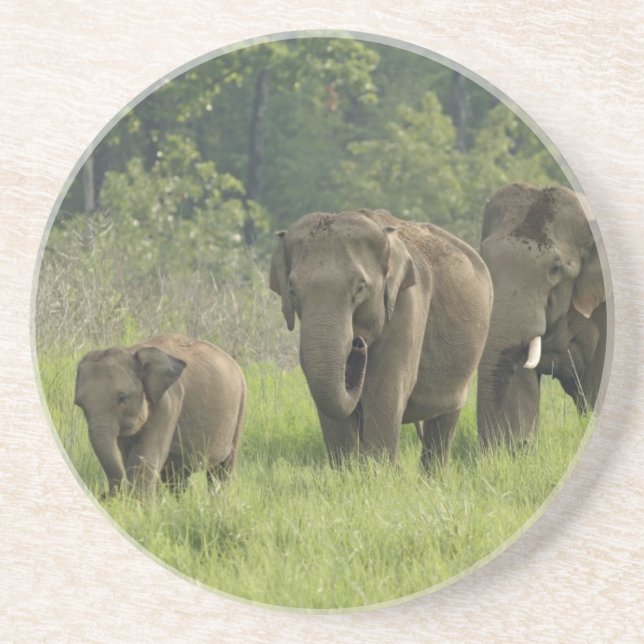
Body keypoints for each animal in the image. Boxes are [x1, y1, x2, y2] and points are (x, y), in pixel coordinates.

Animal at [74, 333, 246, 496]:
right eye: (79, 404)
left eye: (122, 398)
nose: (104, 495)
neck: (132, 352)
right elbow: (128, 456)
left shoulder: (168, 402)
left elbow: (146, 457)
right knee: (178, 475)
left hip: (239, 409)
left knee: (222, 469)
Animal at [270, 208, 493, 468]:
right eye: (292, 290)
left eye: (360, 288)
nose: (358, 345)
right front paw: (347, 471)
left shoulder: (408, 304)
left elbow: (384, 391)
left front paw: (378, 472)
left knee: (444, 420)